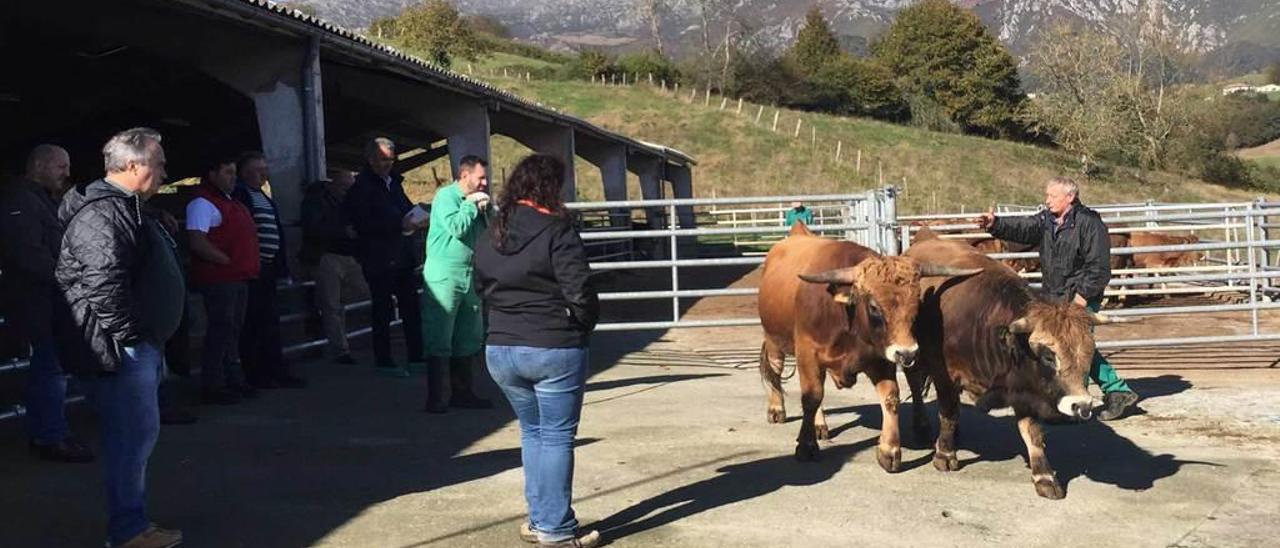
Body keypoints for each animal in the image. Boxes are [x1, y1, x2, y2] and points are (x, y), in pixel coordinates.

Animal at [906, 229, 1126, 499]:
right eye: (1048, 356)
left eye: (1089, 353)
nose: (1082, 405)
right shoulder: (944, 374)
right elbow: (948, 412)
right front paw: (945, 454)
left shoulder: (1025, 389)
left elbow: (1032, 433)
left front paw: (1044, 476)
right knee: (916, 388)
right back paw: (923, 427)